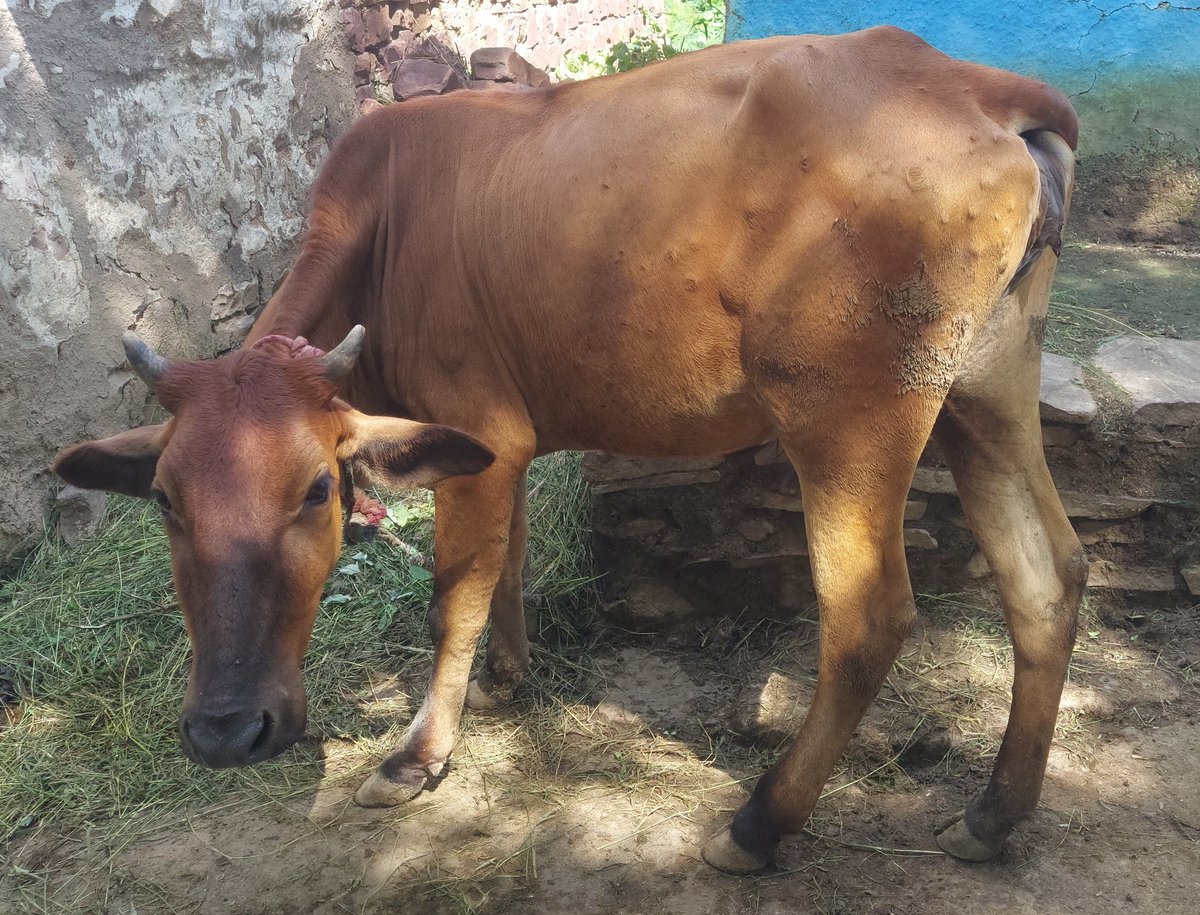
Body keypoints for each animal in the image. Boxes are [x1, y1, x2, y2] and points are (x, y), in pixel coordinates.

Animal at [54, 26, 1089, 869]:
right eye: (165, 501)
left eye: (316, 490)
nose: (226, 731)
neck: (381, 229)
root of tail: (978, 87)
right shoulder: (496, 448)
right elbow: (505, 565)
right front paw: (506, 679)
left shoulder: (482, 427)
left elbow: (454, 596)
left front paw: (418, 755)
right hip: (985, 390)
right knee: (1049, 575)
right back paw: (993, 815)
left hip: (848, 416)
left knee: (867, 616)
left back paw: (759, 823)